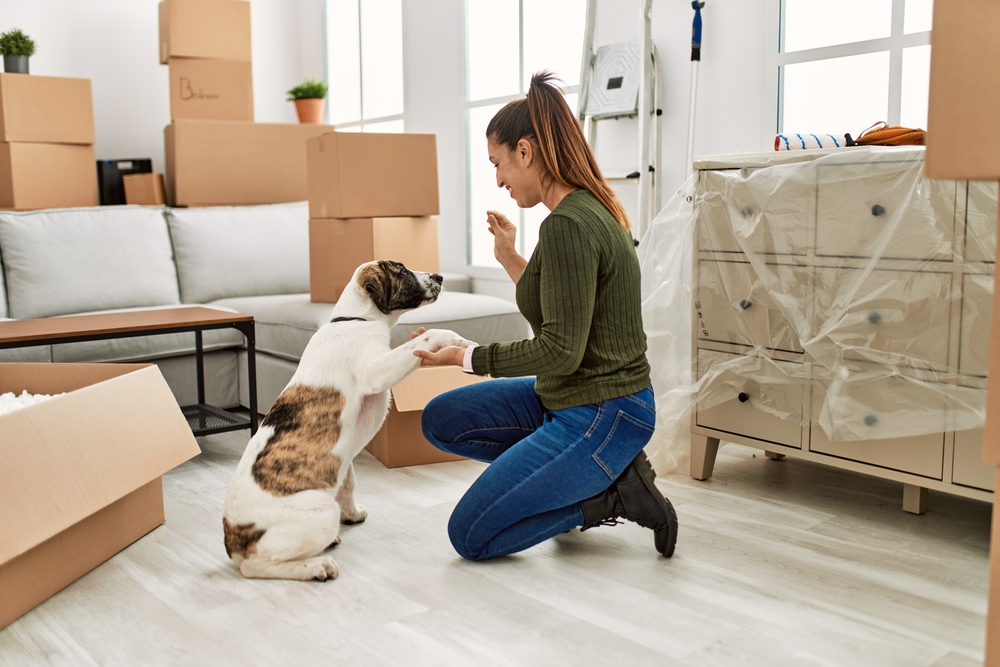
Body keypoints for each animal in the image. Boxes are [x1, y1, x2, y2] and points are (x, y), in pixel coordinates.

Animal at [225, 258, 474, 580]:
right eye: (402, 270)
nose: (440, 277)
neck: (357, 319)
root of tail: (232, 540)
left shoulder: (345, 459)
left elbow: (348, 482)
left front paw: (352, 514)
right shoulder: (375, 373)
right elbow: (431, 334)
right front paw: (458, 339)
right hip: (317, 513)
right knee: (255, 566)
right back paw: (316, 566)